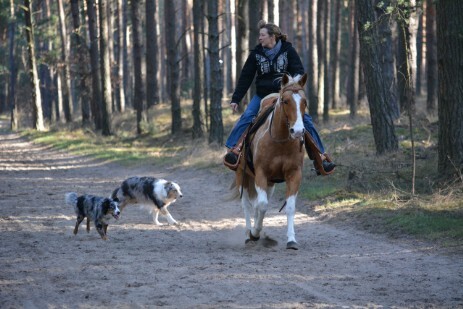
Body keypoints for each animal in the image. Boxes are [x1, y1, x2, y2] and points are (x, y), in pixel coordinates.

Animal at [234, 73, 310, 249]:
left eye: (304, 102)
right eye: (285, 101)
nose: (298, 131)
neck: (280, 141)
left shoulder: (294, 175)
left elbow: (290, 207)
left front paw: (291, 240)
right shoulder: (260, 174)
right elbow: (262, 205)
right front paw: (254, 233)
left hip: (270, 183)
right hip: (243, 175)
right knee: (247, 204)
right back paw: (248, 234)